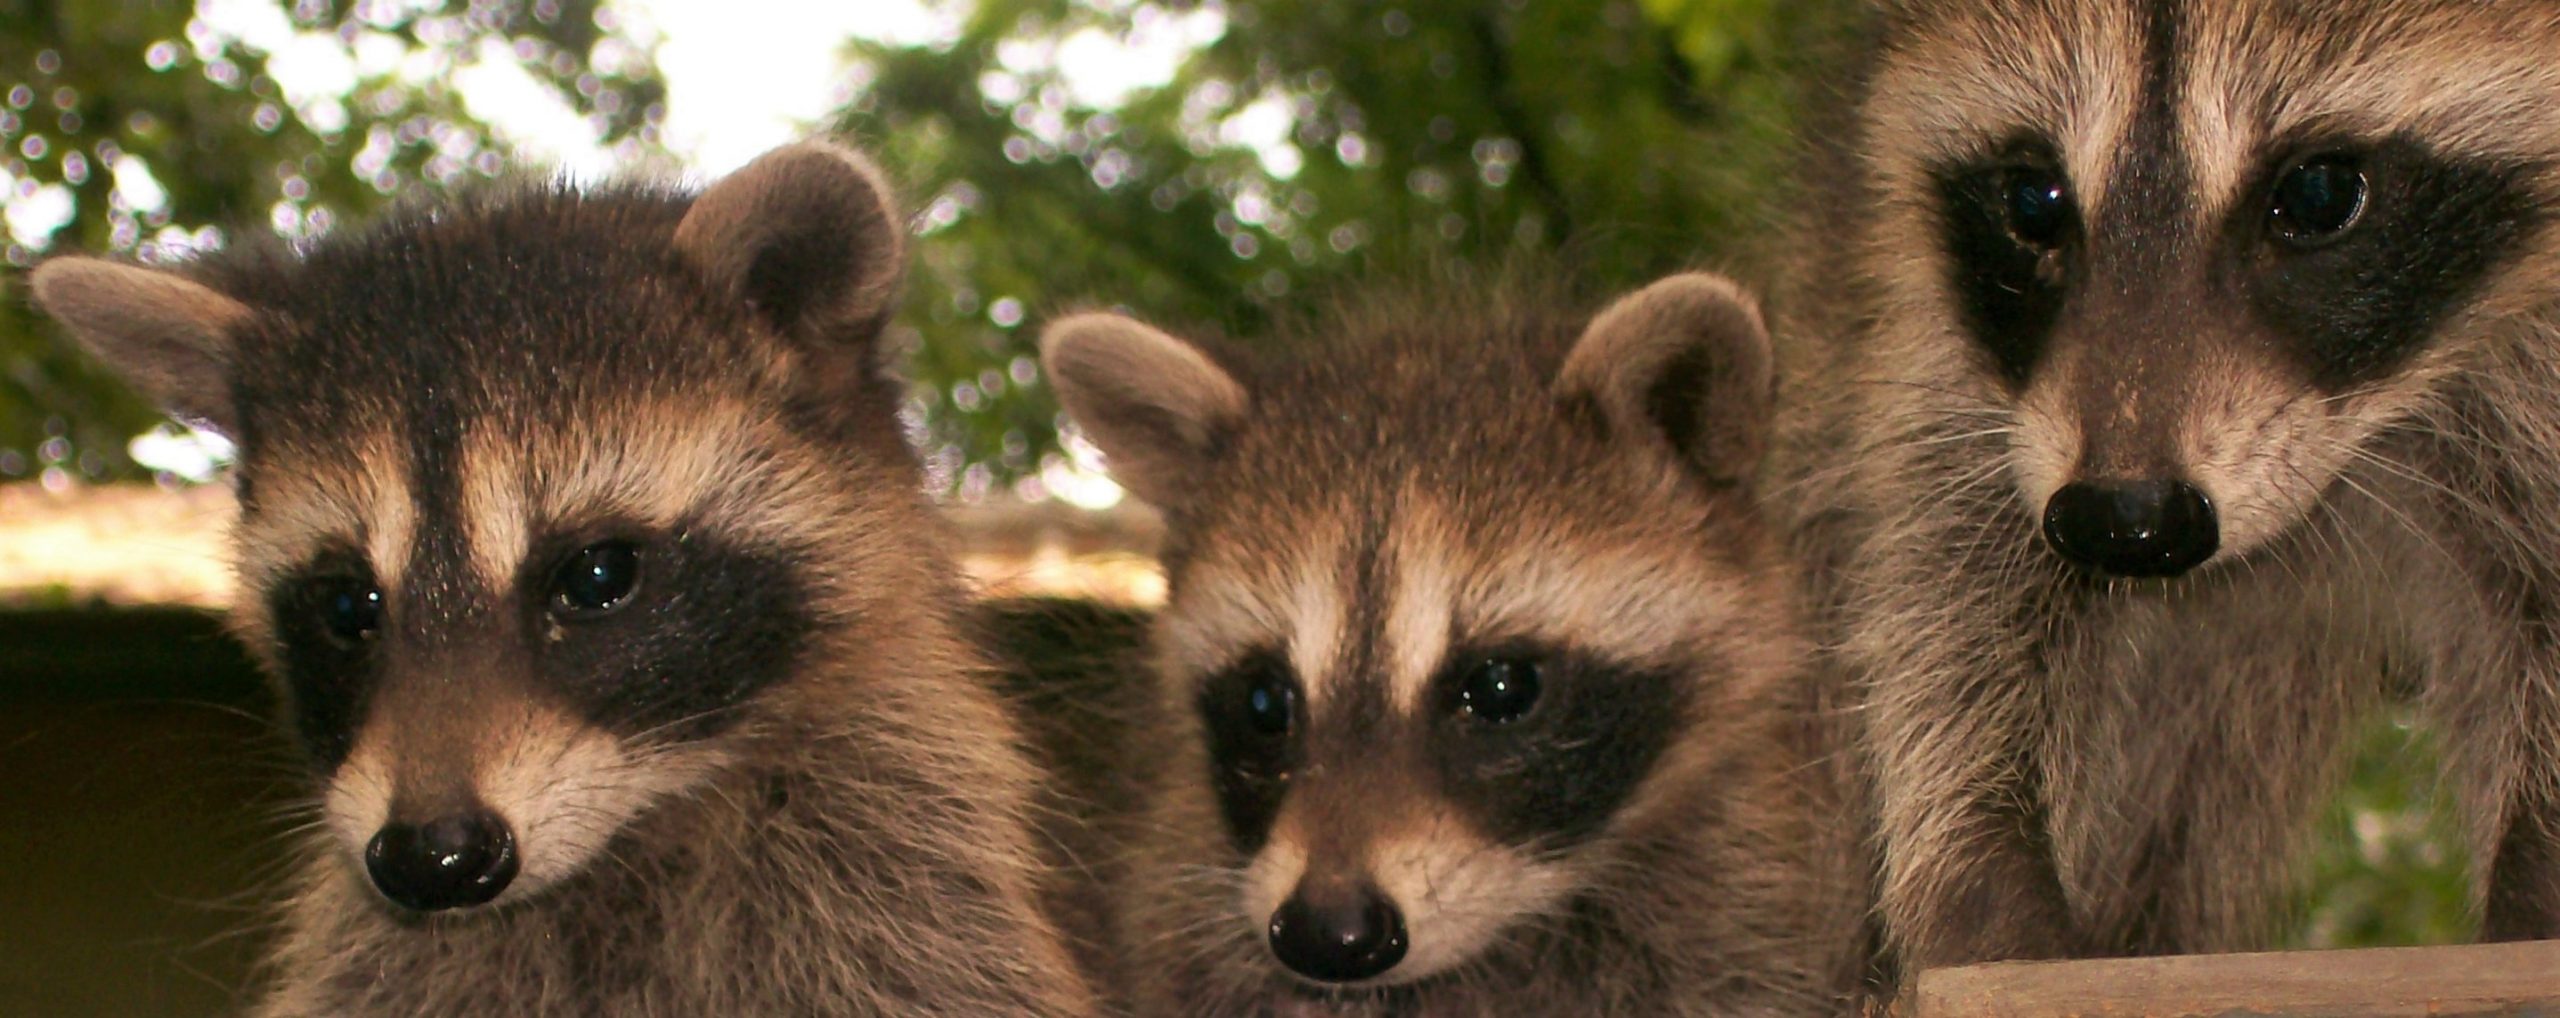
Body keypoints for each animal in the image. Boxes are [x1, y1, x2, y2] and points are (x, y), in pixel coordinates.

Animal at [1767, 0, 2560, 968]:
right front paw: (1980, 870)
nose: (2123, 522)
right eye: (2032, 200)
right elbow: (1950, 584)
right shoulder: (1926, 339)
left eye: (2318, 195)